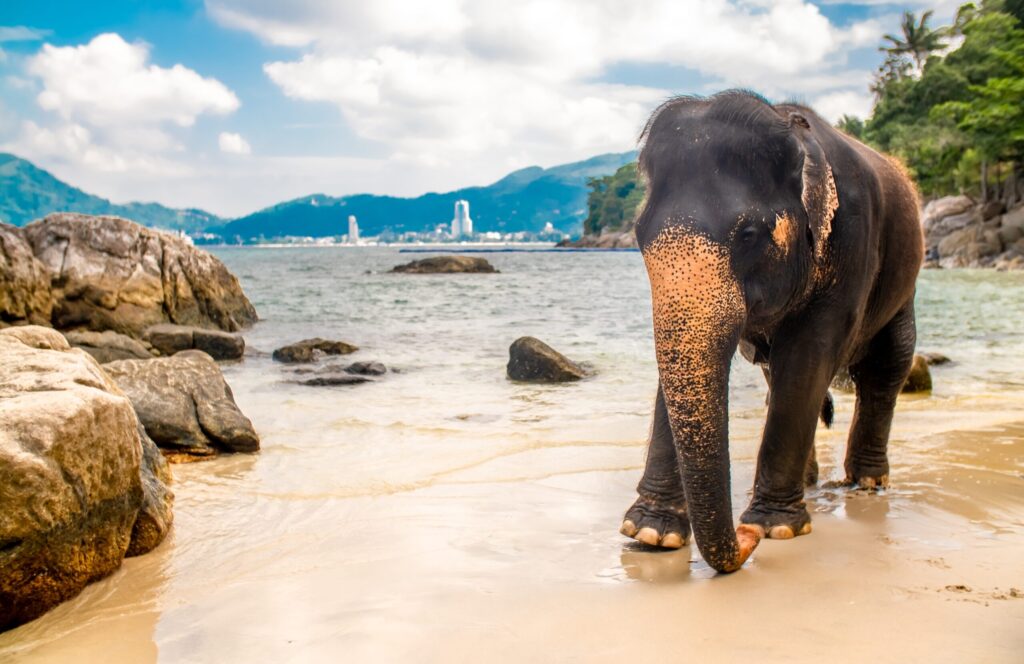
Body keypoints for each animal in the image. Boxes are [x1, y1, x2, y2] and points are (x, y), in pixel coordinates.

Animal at [619, 91, 923, 573]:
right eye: (638, 233)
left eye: (748, 234)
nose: (744, 543)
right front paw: (651, 533)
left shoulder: (852, 240)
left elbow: (807, 358)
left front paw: (772, 528)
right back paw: (813, 480)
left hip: (903, 281)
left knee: (886, 365)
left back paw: (868, 483)